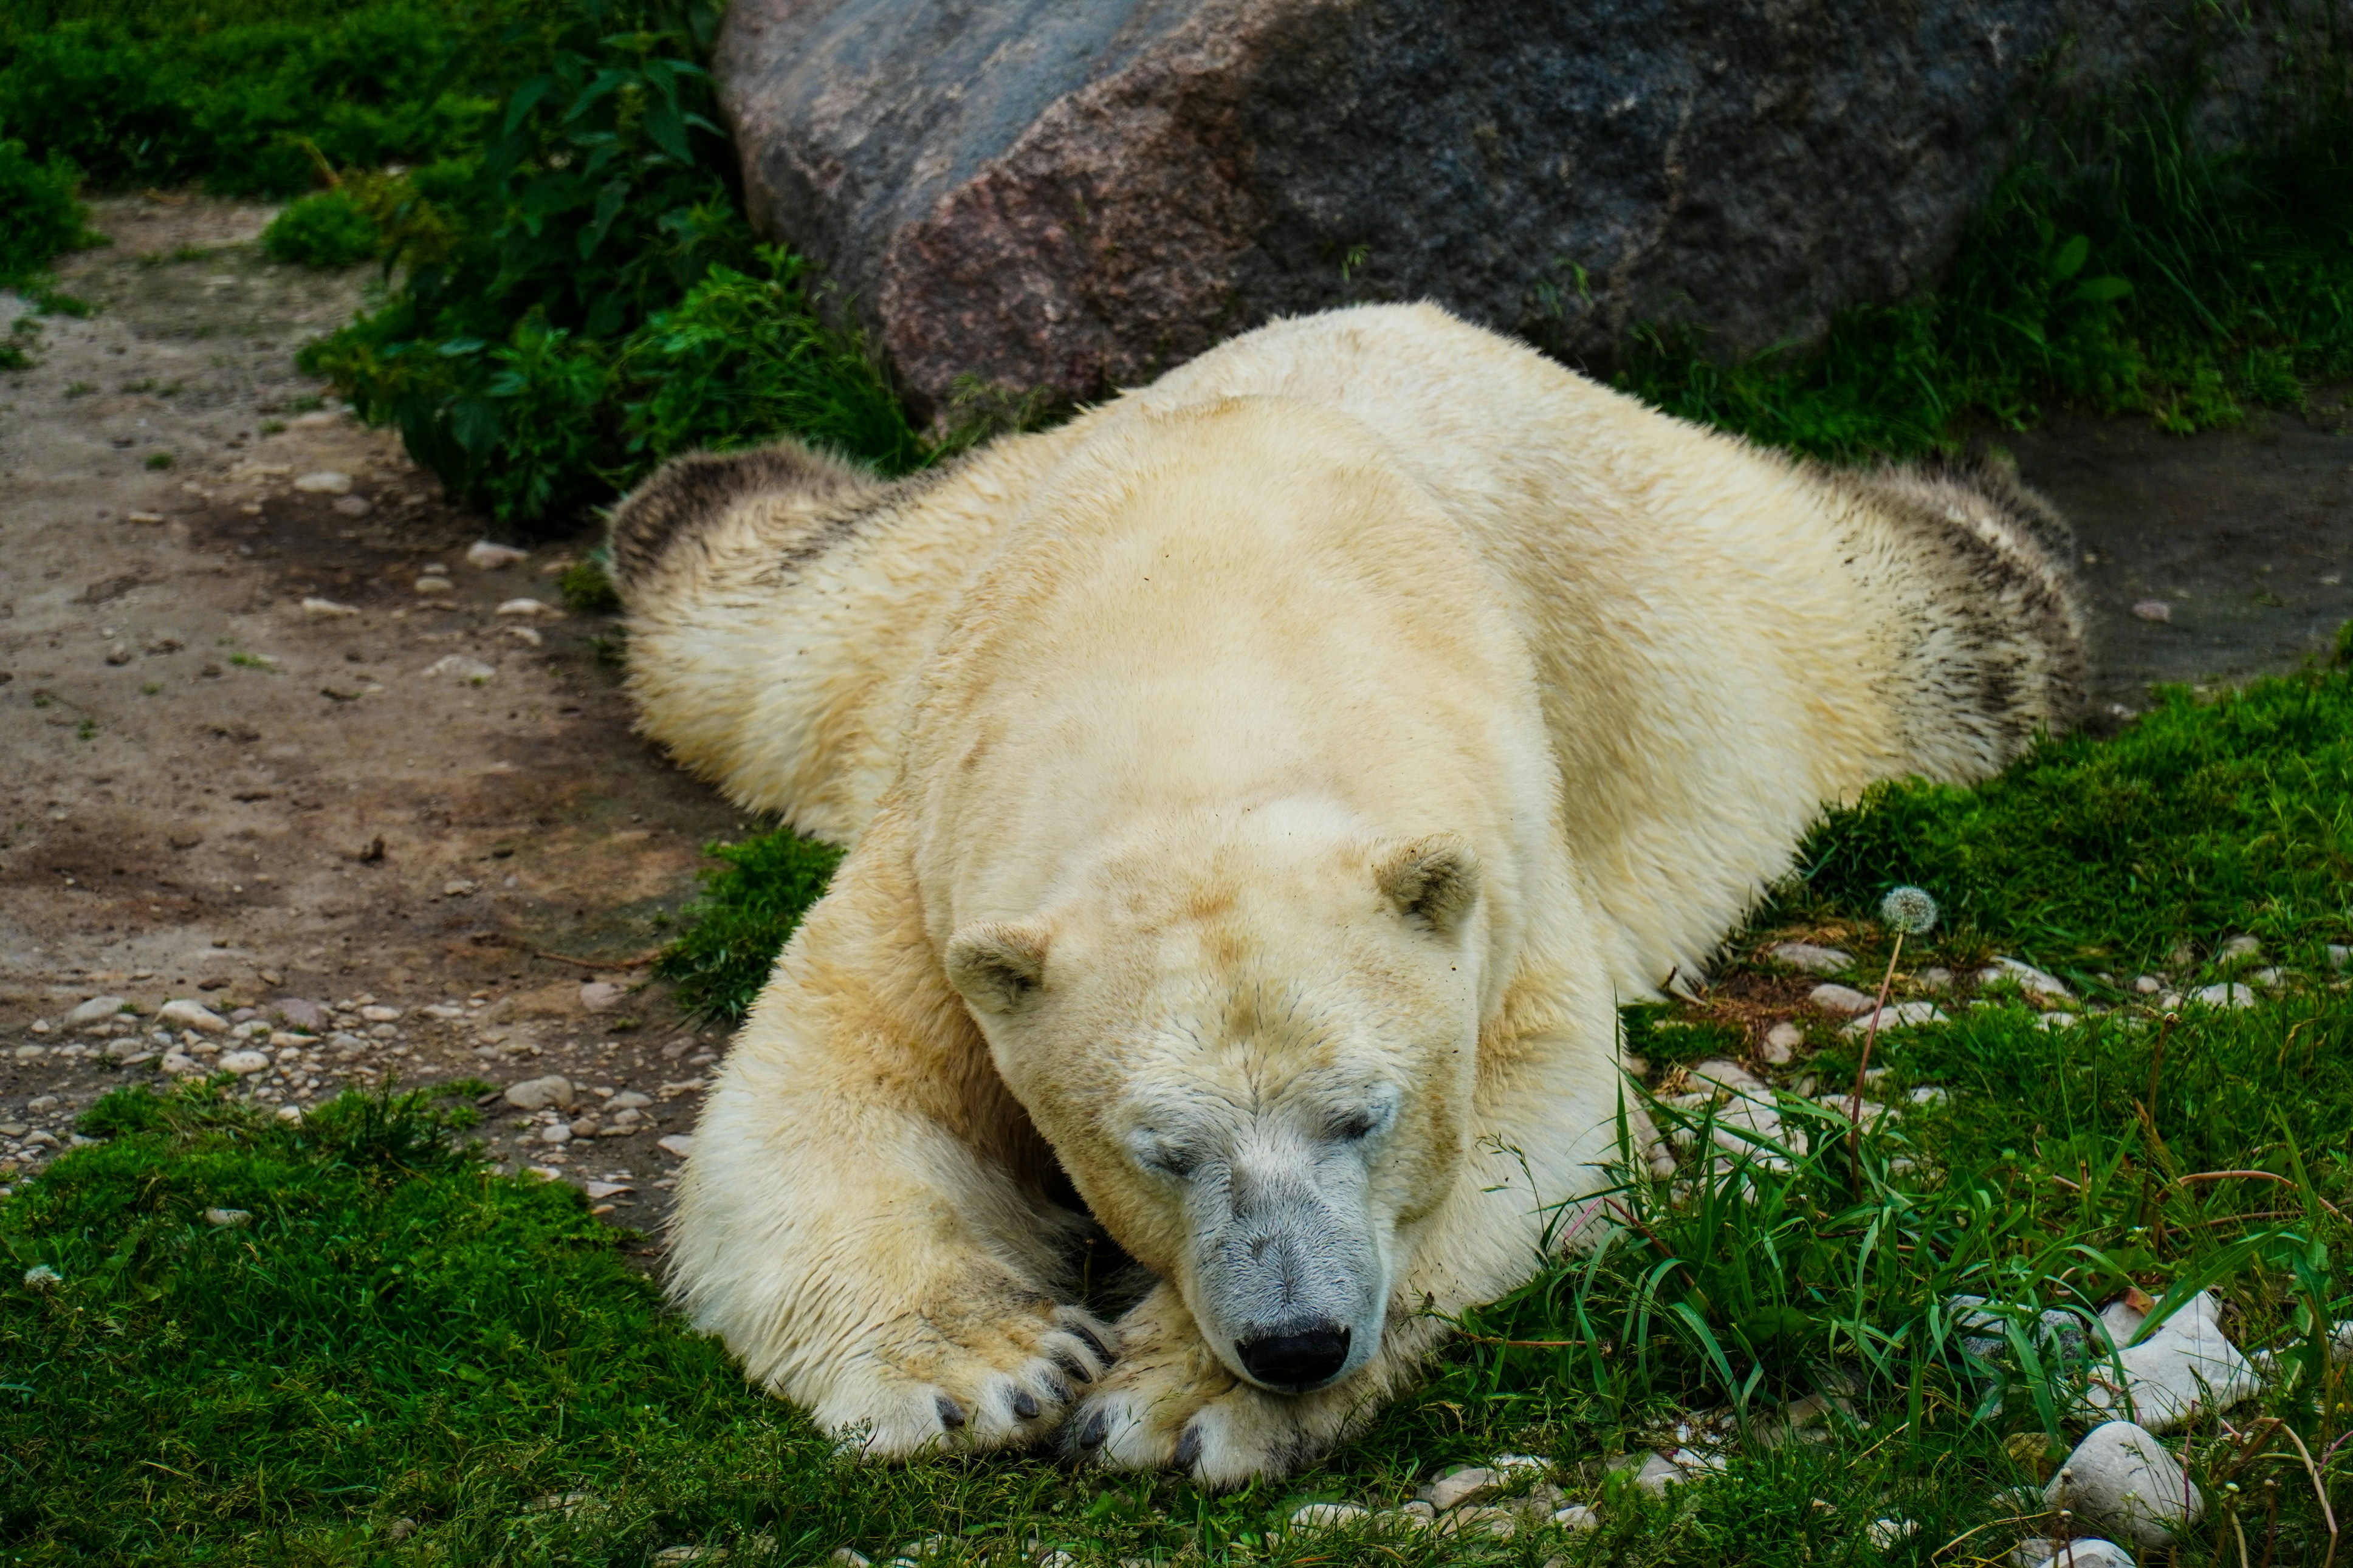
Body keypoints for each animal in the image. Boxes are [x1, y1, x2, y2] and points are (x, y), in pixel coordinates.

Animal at [609, 302, 2085, 1486]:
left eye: (1365, 1116)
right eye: (1161, 1150)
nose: (1298, 1342)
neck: (1199, 630)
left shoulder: (1505, 859)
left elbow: (1537, 1128)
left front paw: (1175, 1403)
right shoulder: (938, 842)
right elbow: (827, 1090)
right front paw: (991, 1369)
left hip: (1722, 595)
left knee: (1938, 622)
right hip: (915, 584)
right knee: (750, 618)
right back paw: (705, 488)